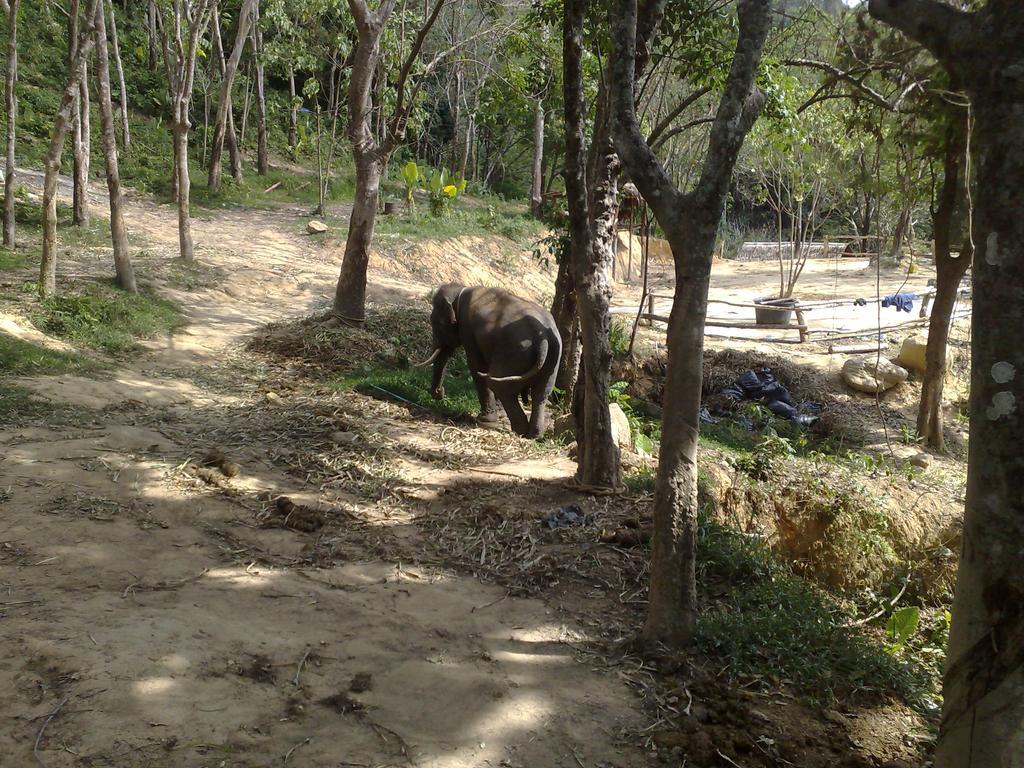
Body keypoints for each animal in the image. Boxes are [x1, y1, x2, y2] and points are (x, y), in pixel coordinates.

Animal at [413, 284, 565, 438]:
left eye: (435, 323)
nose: (440, 392)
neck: (461, 289)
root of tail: (542, 339)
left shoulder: (468, 329)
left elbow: (476, 366)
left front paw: (485, 419)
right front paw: (499, 414)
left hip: (514, 352)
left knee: (498, 384)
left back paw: (519, 430)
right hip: (553, 357)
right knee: (541, 393)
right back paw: (534, 435)